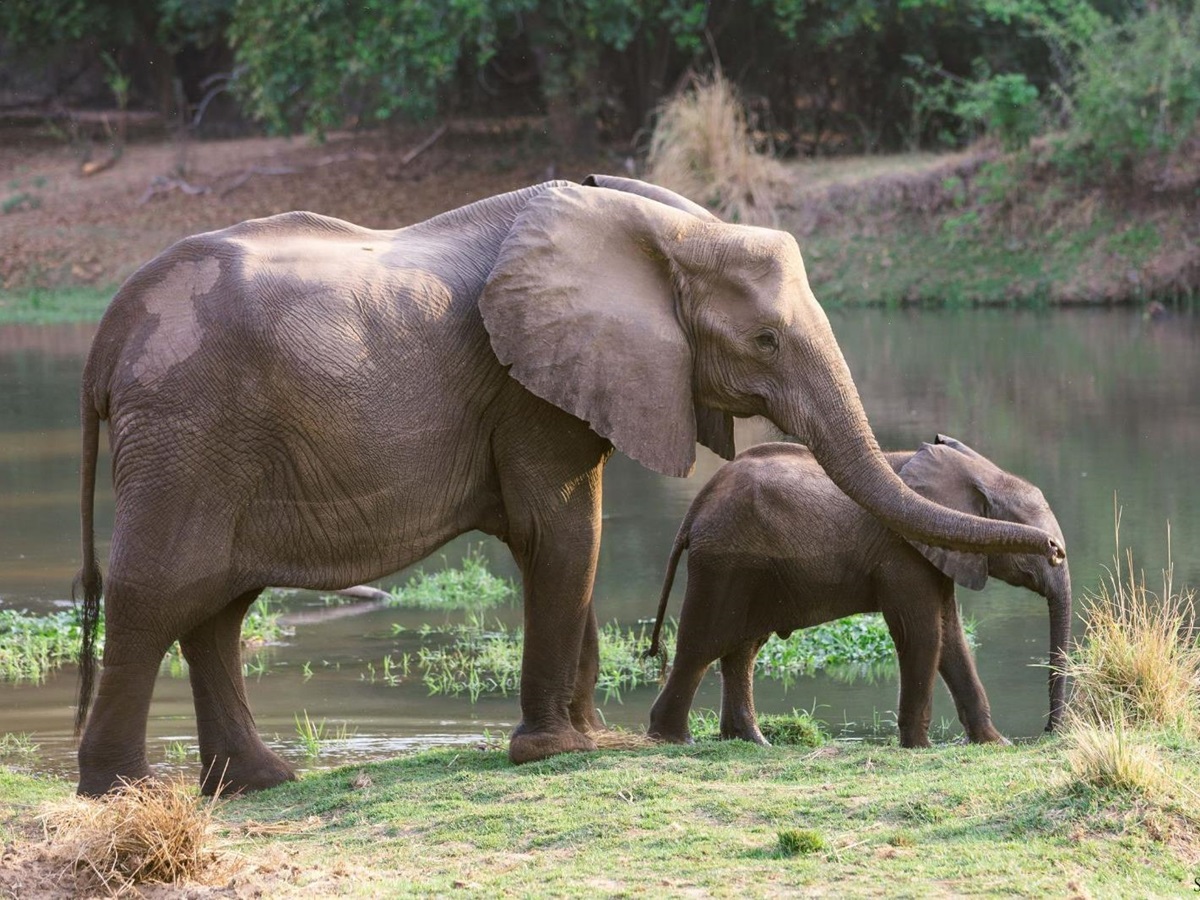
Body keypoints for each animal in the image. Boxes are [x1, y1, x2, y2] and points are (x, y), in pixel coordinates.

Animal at [645, 435, 1072, 748]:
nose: (1049, 732)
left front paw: (995, 743)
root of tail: (697, 508)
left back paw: (752, 741)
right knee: (702, 646)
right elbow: (922, 634)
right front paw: (918, 748)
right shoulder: (903, 551)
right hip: (724, 563)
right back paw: (674, 739)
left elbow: (951, 637)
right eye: (1034, 547)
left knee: (742, 649)